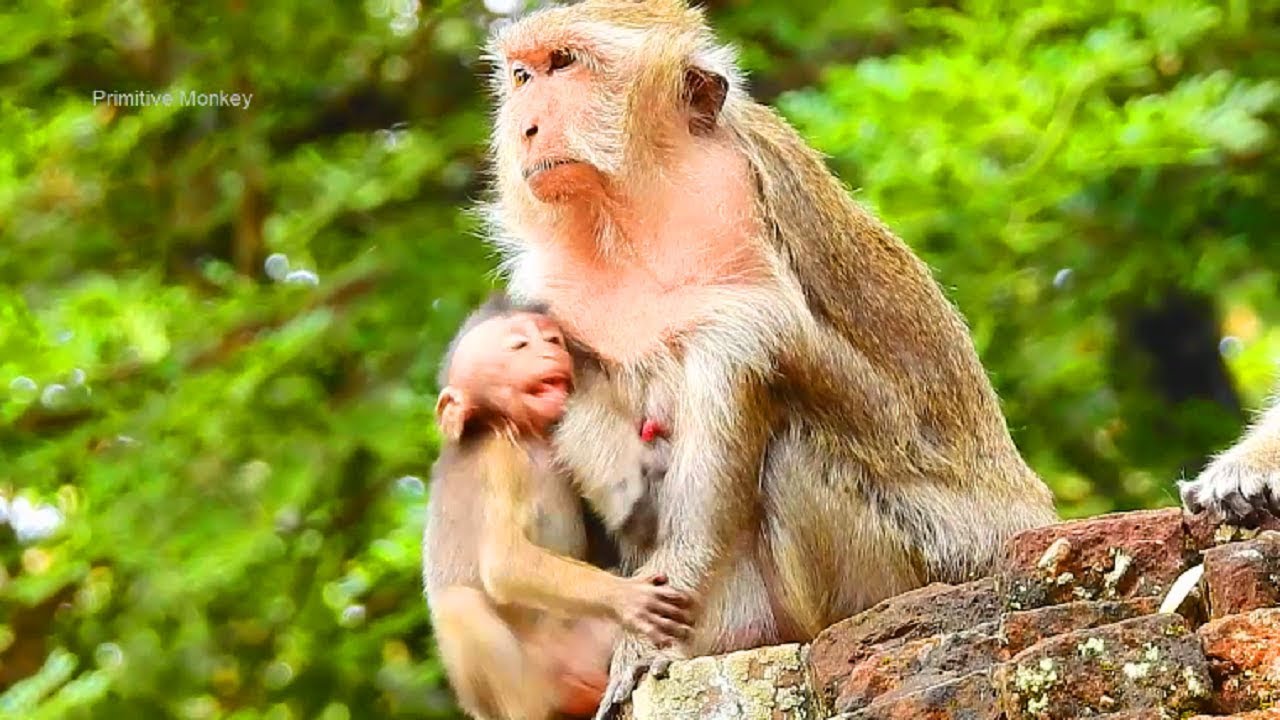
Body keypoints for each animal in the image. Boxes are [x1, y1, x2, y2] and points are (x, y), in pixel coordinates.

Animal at [421, 294, 695, 720]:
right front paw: (627, 596)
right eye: (519, 345)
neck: (525, 434)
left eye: (551, 338)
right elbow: (504, 562)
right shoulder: (499, 460)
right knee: (460, 607)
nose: (551, 348)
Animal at [478, 1, 1060, 716]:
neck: (630, 215)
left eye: (565, 64)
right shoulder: (548, 284)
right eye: (522, 76)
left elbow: (762, 346)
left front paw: (653, 623)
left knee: (790, 448)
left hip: (924, 557)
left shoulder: (732, 202)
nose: (526, 125)